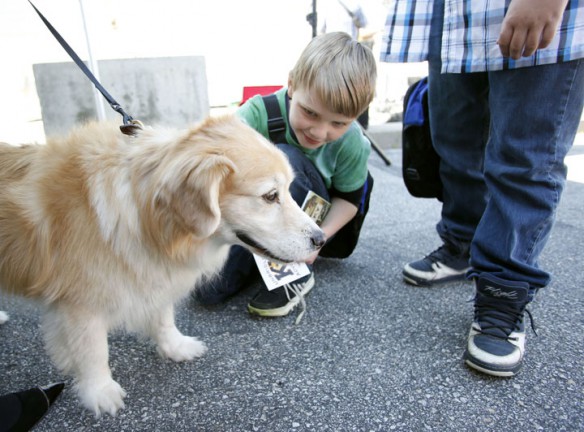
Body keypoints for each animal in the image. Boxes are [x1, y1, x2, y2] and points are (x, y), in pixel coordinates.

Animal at [0, 115, 324, 416]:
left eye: (288, 189)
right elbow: (93, 350)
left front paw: (174, 347)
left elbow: (163, 316)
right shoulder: (80, 301)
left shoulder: (154, 272)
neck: (146, 217)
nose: (321, 239)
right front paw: (100, 391)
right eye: (270, 196)